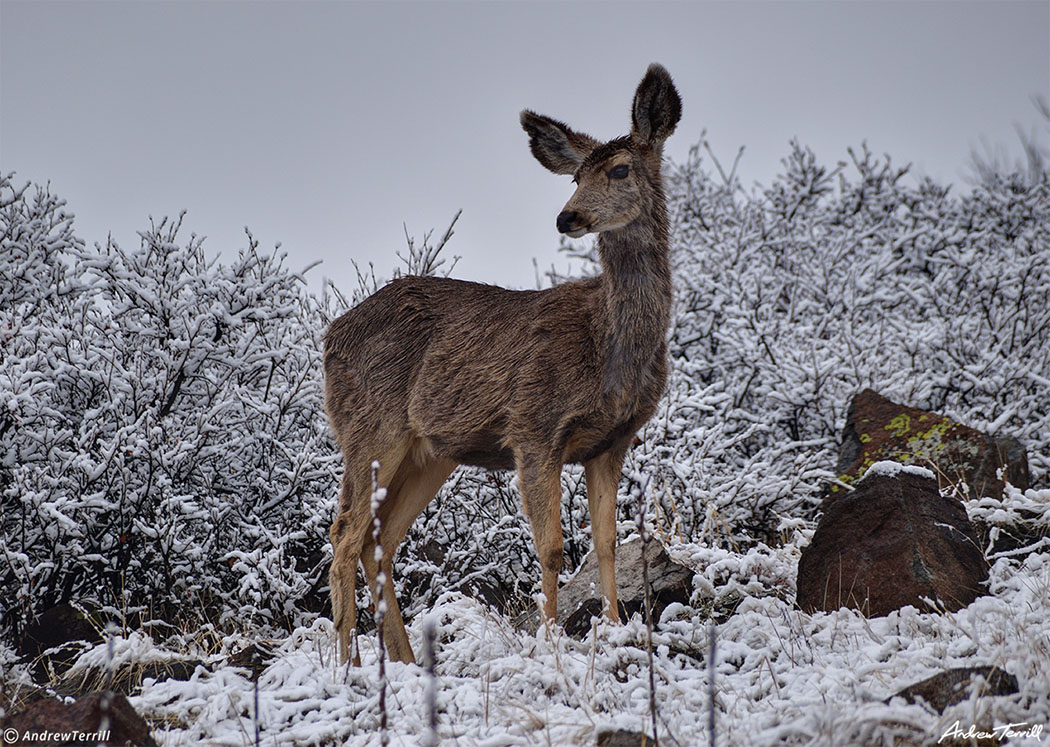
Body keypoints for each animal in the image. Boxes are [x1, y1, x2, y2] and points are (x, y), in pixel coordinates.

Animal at [323, 61, 680, 664]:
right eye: (574, 178)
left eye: (621, 169)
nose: (567, 217)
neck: (608, 344)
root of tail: (327, 337)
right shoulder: (534, 425)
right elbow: (554, 547)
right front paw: (552, 642)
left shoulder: (611, 441)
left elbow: (608, 543)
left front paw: (615, 630)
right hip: (371, 427)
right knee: (344, 532)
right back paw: (345, 663)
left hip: (429, 453)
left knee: (379, 542)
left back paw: (406, 661)